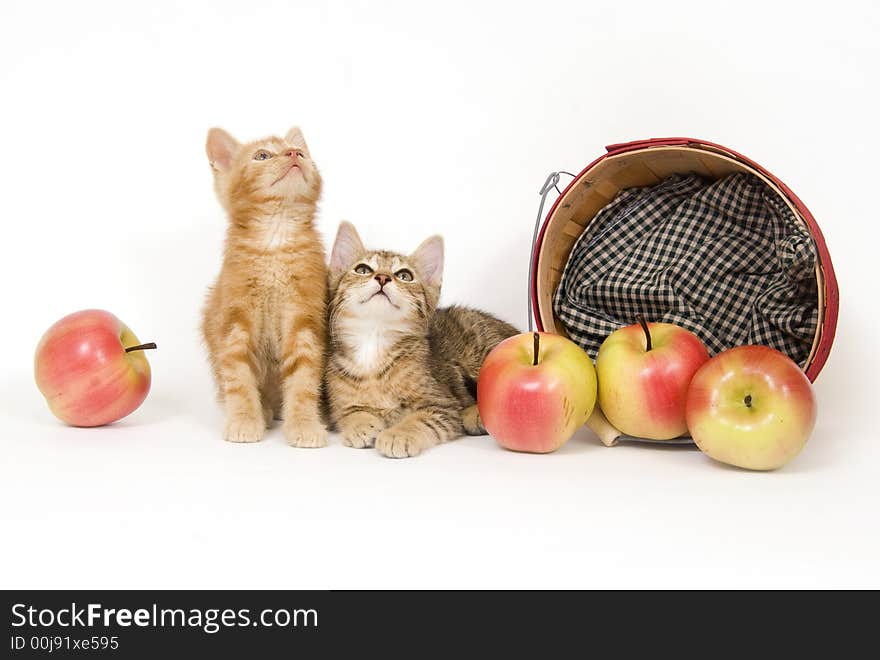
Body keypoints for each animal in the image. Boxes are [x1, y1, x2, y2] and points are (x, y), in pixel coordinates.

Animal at [201, 126, 328, 446]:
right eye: (262, 156)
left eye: (302, 152)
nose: (294, 153)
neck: (275, 237)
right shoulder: (233, 318)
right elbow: (238, 377)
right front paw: (244, 420)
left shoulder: (304, 316)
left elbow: (304, 377)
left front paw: (304, 424)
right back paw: (264, 411)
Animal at [326, 222, 520, 458]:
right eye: (362, 269)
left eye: (404, 275)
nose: (382, 278)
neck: (375, 341)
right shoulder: (340, 401)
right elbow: (351, 412)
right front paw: (360, 424)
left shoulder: (441, 404)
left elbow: (420, 419)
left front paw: (399, 434)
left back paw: (475, 415)